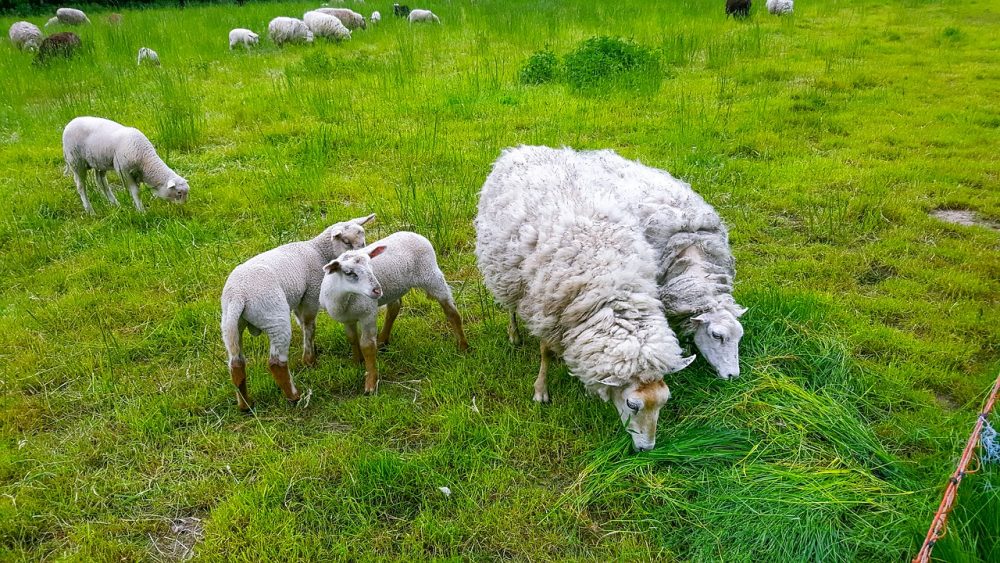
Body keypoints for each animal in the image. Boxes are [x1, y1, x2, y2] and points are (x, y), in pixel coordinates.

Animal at [61, 117, 191, 214]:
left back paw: (115, 204)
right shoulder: (124, 171)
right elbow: (136, 192)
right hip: (76, 161)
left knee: (101, 182)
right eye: (179, 193)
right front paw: (141, 211)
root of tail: (69, 124)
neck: (145, 159)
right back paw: (90, 211)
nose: (183, 206)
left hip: (100, 162)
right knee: (81, 186)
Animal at [220, 214, 376, 412]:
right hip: (273, 315)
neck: (318, 251)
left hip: (229, 323)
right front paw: (309, 360)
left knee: (236, 364)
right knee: (276, 362)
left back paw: (245, 405)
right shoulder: (311, 295)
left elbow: (302, 323)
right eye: (346, 242)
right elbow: (309, 325)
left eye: (363, 240)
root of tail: (238, 296)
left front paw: (311, 350)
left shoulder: (298, 298)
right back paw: (294, 396)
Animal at [322, 231, 470, 394]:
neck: (344, 299)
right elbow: (352, 338)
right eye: (348, 273)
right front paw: (356, 362)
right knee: (394, 307)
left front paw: (371, 383)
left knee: (451, 312)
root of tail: (414, 233)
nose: (377, 290)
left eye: (371, 266)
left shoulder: (368, 313)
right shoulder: (347, 319)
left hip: (431, 276)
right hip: (395, 288)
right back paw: (382, 340)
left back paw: (463, 346)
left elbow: (367, 345)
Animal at [474, 147, 696, 454]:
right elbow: (545, 353)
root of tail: (521, 149)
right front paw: (541, 391)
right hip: (506, 274)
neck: (613, 288)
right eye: (632, 404)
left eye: (664, 401)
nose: (647, 449)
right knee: (510, 307)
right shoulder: (548, 309)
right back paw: (514, 334)